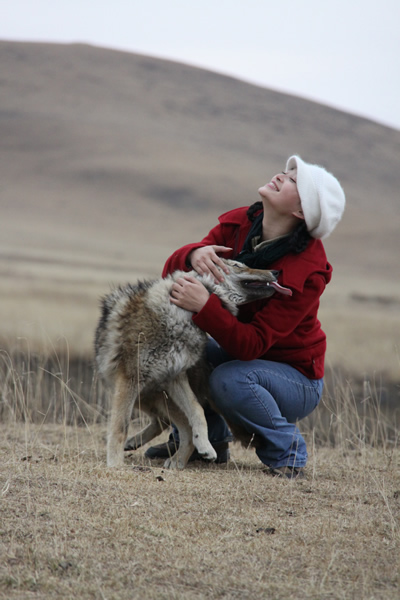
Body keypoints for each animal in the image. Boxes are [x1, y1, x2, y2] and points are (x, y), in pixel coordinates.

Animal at [95, 260, 292, 472]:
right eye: (238, 265)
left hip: (155, 396)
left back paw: (177, 460)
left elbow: (197, 410)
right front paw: (115, 464)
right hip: (141, 394)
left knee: (175, 425)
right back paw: (142, 445)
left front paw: (205, 447)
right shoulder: (131, 379)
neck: (182, 317)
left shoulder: (174, 377)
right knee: (164, 422)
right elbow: (120, 426)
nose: (276, 271)